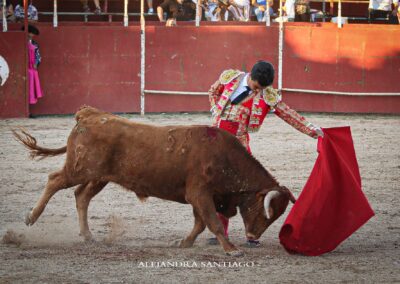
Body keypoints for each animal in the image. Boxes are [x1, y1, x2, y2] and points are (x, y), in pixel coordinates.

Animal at [13, 105, 294, 256]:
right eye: (265, 211)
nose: (253, 235)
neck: (225, 158)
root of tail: (89, 114)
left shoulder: (200, 197)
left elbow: (200, 224)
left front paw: (184, 242)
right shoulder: (200, 194)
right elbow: (212, 222)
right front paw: (232, 249)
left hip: (98, 177)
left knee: (81, 196)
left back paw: (88, 235)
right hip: (79, 169)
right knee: (54, 181)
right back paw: (30, 217)